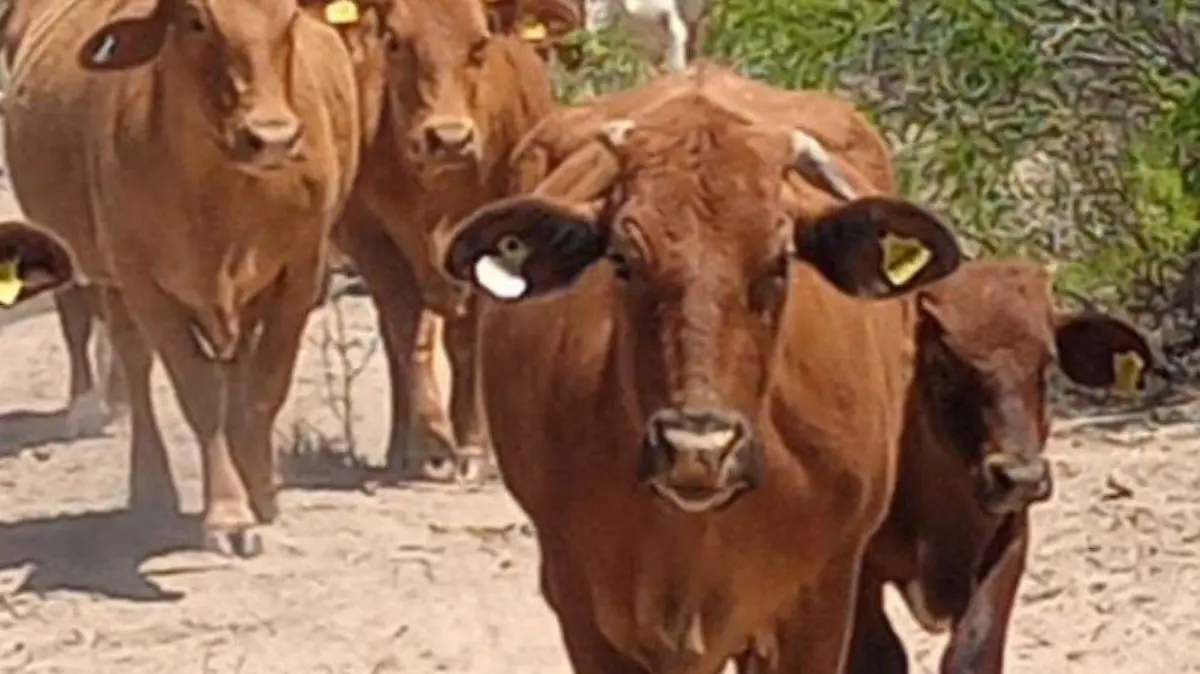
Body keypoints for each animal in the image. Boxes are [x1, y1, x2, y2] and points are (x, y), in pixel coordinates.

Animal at [4, 0, 375, 556]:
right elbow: (200, 394)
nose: (272, 137)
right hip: (97, 267)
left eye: (289, 17)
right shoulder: (144, 281)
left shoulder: (302, 269)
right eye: (197, 20)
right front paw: (229, 513)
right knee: (127, 358)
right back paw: (147, 483)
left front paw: (261, 490)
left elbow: (263, 387)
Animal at [325, 0, 563, 482]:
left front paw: (473, 447)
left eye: (480, 43)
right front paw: (429, 448)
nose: (449, 139)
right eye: (394, 41)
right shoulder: (370, 239)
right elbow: (407, 333)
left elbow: (467, 338)